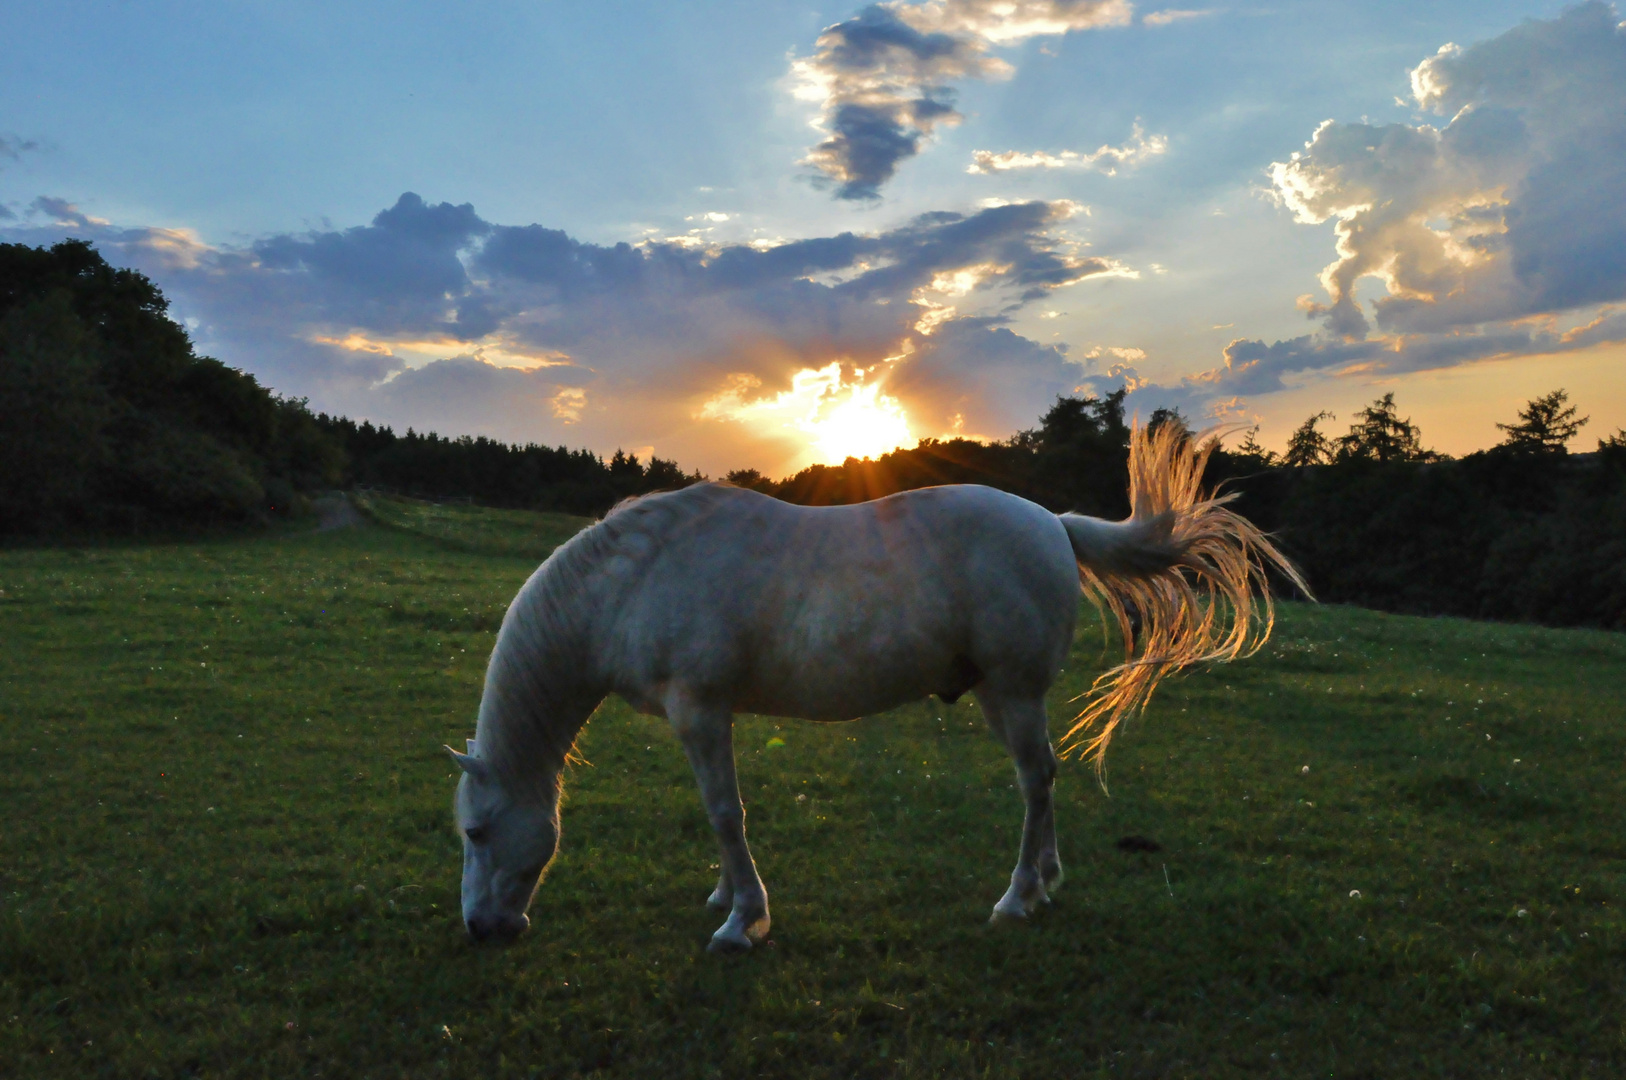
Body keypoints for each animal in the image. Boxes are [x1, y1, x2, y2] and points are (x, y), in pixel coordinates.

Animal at [448, 426, 1307, 949]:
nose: (482, 928)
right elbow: (720, 815)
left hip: (1013, 693)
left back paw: (1016, 898)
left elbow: (726, 813)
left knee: (1036, 782)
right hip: (1002, 697)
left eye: (477, 832)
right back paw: (1047, 885)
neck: (633, 578)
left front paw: (743, 923)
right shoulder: (704, 718)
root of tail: (1053, 524)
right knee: (1046, 782)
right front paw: (728, 900)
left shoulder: (701, 710)